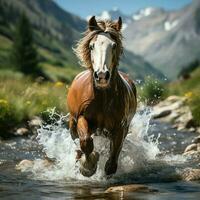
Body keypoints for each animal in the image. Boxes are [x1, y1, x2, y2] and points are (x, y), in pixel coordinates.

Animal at [67, 16, 138, 177]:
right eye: (91, 46)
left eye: (114, 45)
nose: (101, 75)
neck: (102, 98)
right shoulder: (82, 118)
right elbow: (86, 142)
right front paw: (87, 166)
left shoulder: (120, 127)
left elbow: (113, 159)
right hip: (72, 125)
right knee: (77, 141)